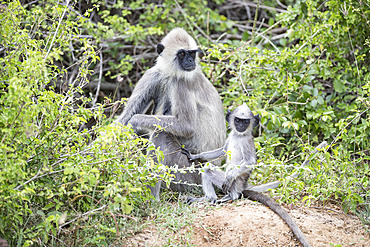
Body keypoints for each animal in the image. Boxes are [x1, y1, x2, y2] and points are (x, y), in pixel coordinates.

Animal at [115, 27, 225, 197]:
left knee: (161, 134)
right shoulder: (153, 74)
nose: (191, 61)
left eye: (192, 53)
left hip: (189, 172)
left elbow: (187, 126)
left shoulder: (182, 83)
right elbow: (123, 119)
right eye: (182, 54)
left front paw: (135, 122)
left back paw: (151, 199)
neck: (171, 74)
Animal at [182, 103, 312, 247]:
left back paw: (230, 196)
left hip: (237, 184)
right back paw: (209, 199)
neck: (239, 136)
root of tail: (244, 187)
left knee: (232, 187)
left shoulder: (247, 141)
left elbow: (249, 162)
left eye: (245, 121)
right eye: (237, 120)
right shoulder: (231, 136)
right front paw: (194, 156)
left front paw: (230, 177)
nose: (240, 126)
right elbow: (222, 151)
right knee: (207, 169)